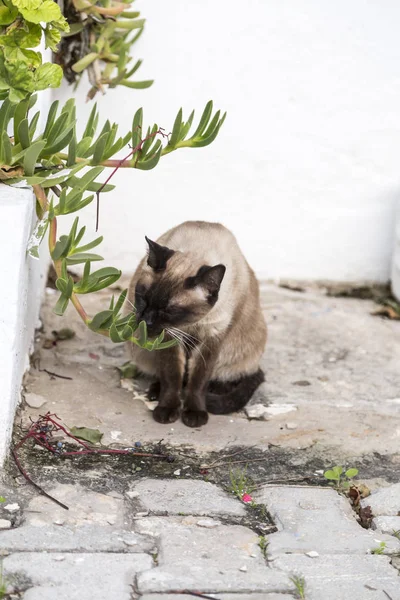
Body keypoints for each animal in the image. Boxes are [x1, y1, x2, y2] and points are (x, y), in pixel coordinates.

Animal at [126, 221, 268, 426]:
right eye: (143, 299)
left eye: (169, 310)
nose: (147, 321)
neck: (190, 324)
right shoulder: (170, 337)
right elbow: (171, 376)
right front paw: (167, 409)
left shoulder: (211, 338)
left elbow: (198, 381)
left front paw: (195, 413)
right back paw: (155, 391)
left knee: (241, 375)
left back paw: (215, 390)